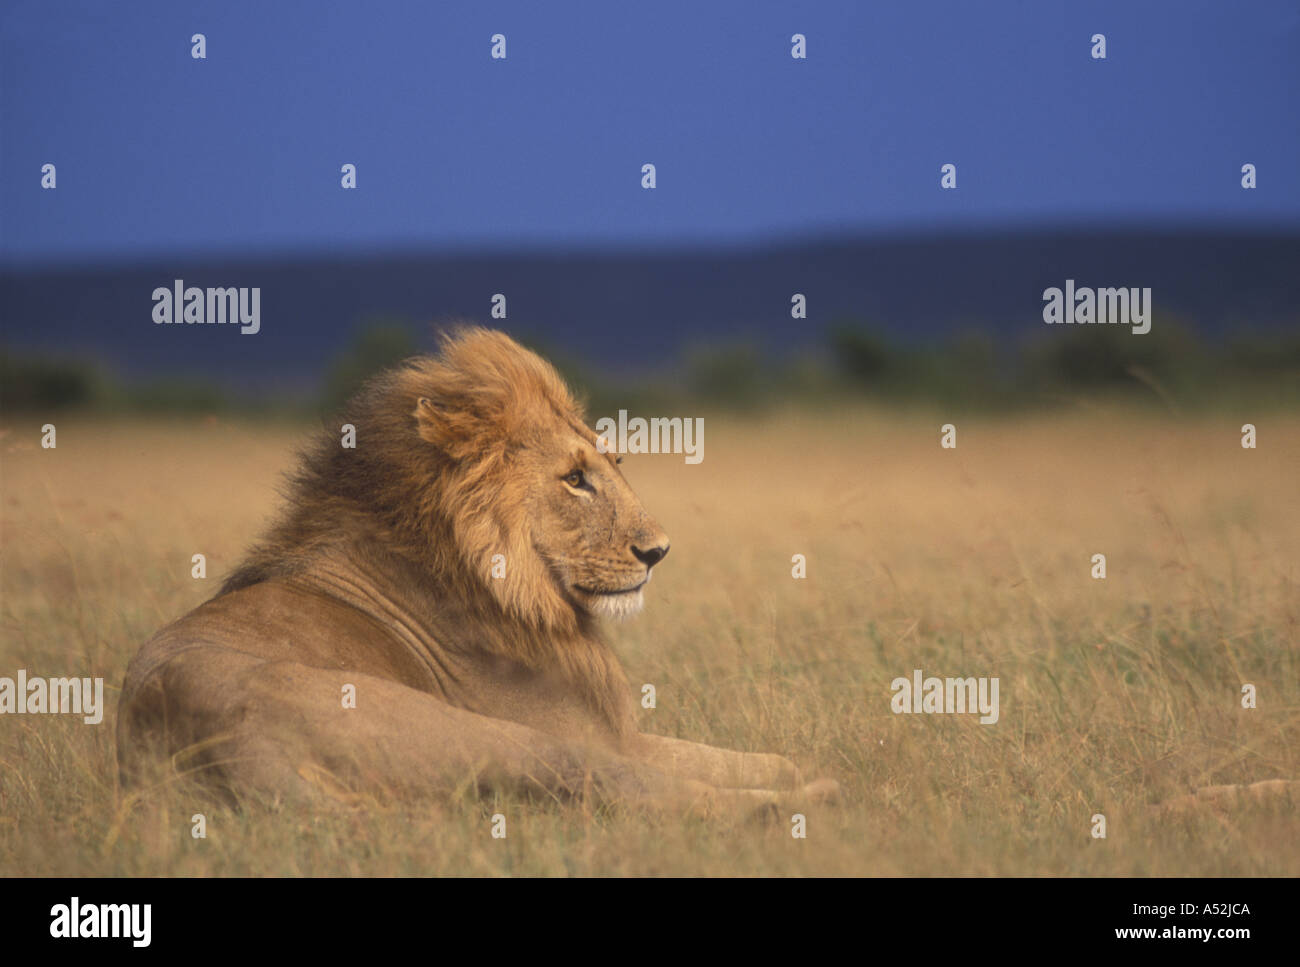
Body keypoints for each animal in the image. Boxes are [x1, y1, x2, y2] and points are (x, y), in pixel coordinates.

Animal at [117, 327, 838, 815]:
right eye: (575, 479)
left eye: (614, 465)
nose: (658, 551)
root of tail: (206, 740)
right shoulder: (590, 732)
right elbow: (686, 765)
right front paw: (810, 778)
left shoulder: (621, 730)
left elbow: (749, 755)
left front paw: (802, 760)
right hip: (491, 734)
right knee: (615, 785)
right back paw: (812, 802)